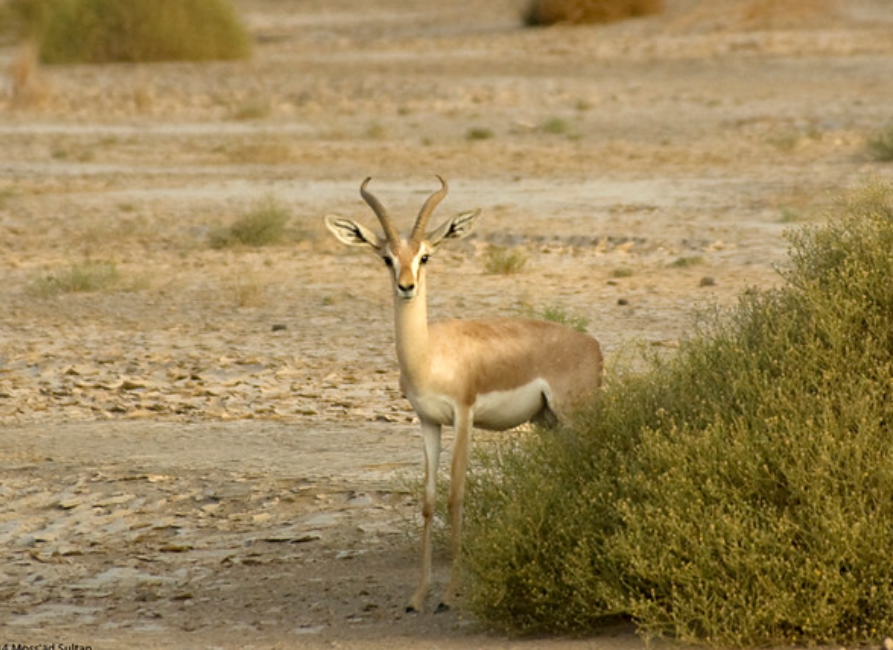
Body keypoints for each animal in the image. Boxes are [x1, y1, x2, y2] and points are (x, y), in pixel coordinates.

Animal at [324, 176, 604, 613]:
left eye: (425, 256)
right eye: (387, 258)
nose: (406, 287)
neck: (429, 353)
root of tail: (592, 345)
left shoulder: (463, 416)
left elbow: (456, 495)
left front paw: (449, 594)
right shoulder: (428, 421)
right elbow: (428, 499)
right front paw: (418, 595)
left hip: (578, 416)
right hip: (550, 424)